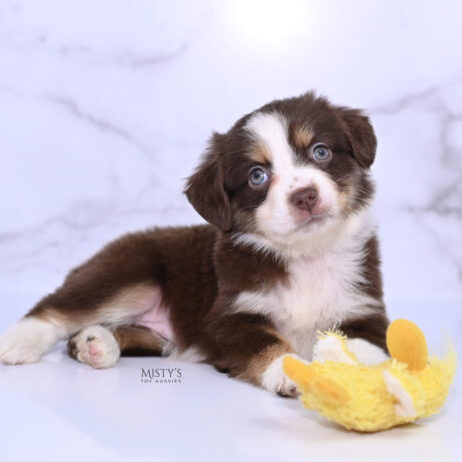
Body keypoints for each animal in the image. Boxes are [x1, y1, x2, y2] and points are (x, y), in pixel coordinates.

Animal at [0, 92, 390, 396]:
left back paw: (95, 344)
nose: (305, 196)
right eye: (257, 176)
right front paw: (286, 370)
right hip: (129, 271)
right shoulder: (229, 316)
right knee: (59, 308)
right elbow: (266, 343)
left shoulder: (364, 309)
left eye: (321, 152)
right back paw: (18, 342)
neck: (305, 254)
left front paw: (362, 371)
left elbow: (364, 345)